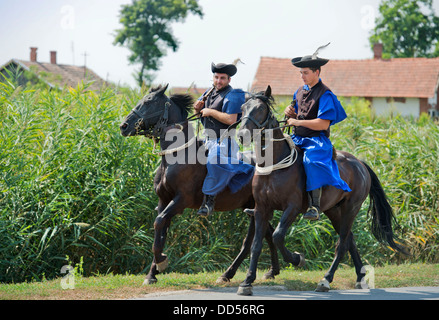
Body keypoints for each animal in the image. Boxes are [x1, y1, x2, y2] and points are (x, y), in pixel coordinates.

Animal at [118, 85, 288, 284]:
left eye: (148, 102)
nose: (123, 126)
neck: (177, 156)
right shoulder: (163, 200)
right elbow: (160, 231)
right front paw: (152, 273)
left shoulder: (181, 200)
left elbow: (159, 223)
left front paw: (161, 261)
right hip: (253, 207)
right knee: (268, 233)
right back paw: (272, 270)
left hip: (256, 208)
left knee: (249, 243)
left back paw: (229, 273)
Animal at [237, 85, 410, 296]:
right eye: (243, 108)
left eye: (260, 109)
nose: (241, 135)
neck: (274, 165)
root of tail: (359, 163)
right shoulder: (262, 209)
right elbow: (256, 245)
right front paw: (247, 281)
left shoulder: (292, 208)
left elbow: (277, 237)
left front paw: (297, 258)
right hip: (333, 210)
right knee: (350, 240)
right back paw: (360, 277)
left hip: (351, 209)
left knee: (342, 244)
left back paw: (326, 279)